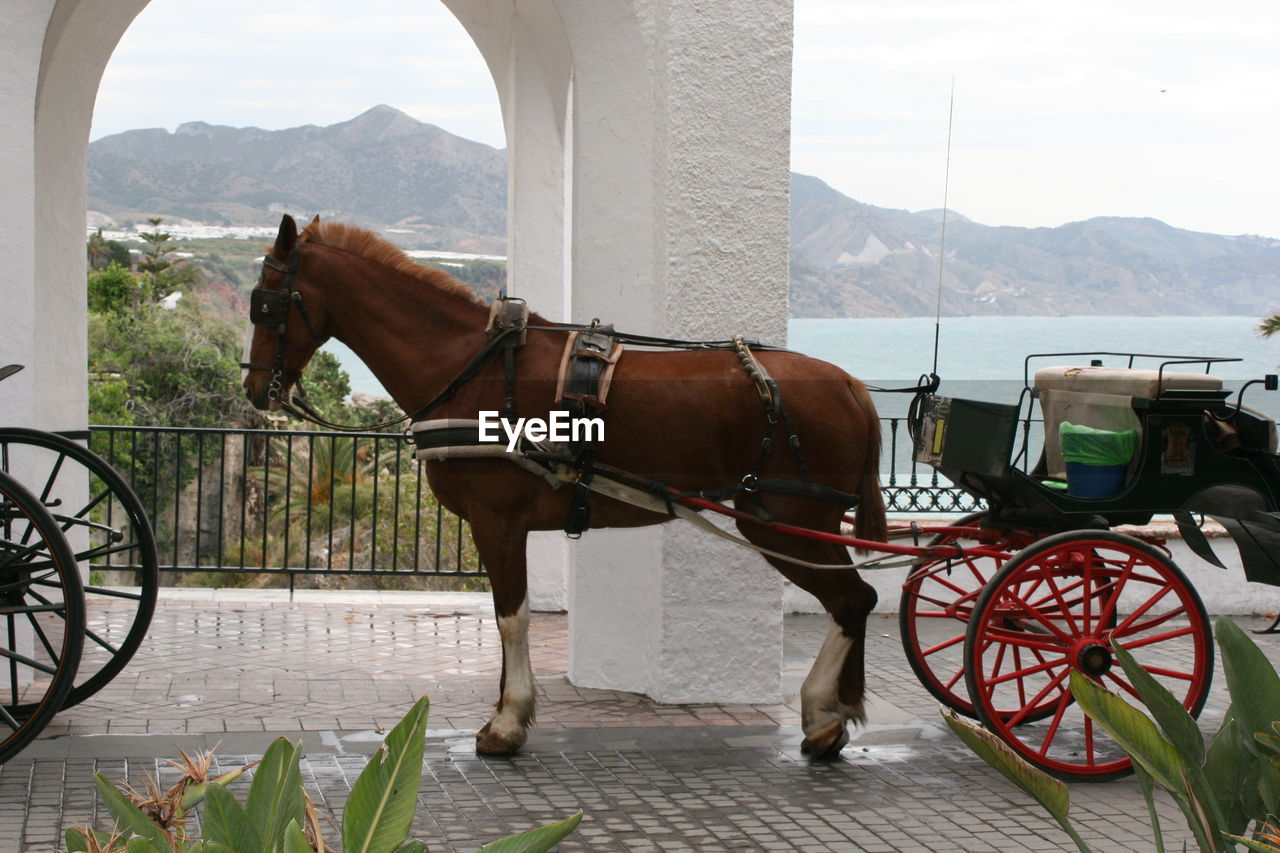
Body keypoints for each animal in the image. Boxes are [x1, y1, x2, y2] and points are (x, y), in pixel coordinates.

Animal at [240, 216, 885, 753]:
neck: (474, 370)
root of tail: (850, 384)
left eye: (266, 304)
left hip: (786, 520)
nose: (253, 389)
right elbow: (506, 615)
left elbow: (511, 616)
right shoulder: (501, 527)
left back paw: (822, 713)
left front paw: (508, 720)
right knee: (850, 602)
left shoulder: (497, 522)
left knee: (854, 601)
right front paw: (505, 708)